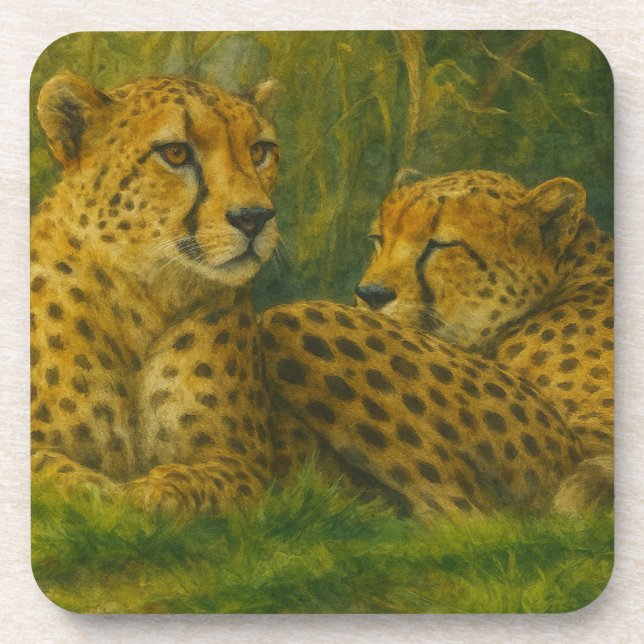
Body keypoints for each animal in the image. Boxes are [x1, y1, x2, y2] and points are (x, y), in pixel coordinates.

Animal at [31, 72, 281, 515]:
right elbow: (50, 470)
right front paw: (98, 491)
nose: (254, 218)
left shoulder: (243, 461)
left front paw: (152, 491)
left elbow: (198, 478)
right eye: (176, 153)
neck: (145, 297)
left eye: (259, 151)